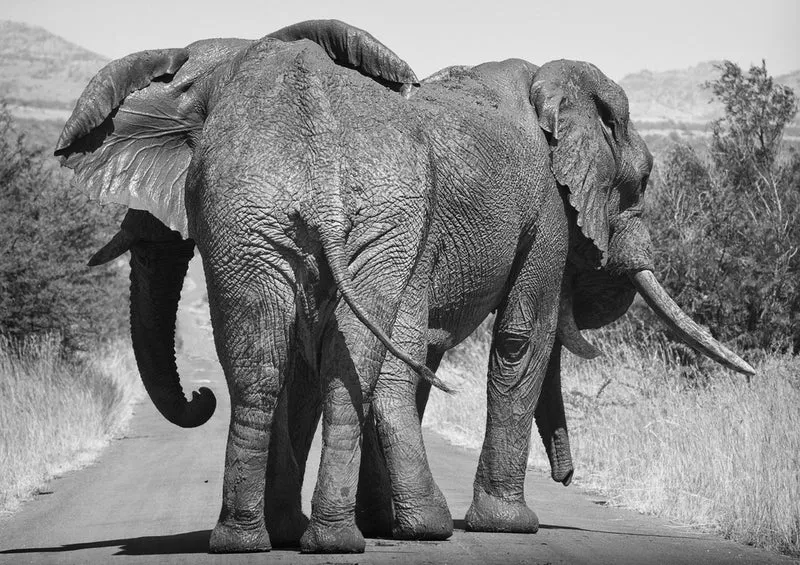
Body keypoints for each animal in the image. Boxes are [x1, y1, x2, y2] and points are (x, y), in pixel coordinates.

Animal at [56, 20, 456, 554]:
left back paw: (237, 538)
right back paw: (332, 540)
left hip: (247, 217)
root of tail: (324, 169)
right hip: (386, 218)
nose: (199, 396)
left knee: (256, 369)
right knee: (345, 373)